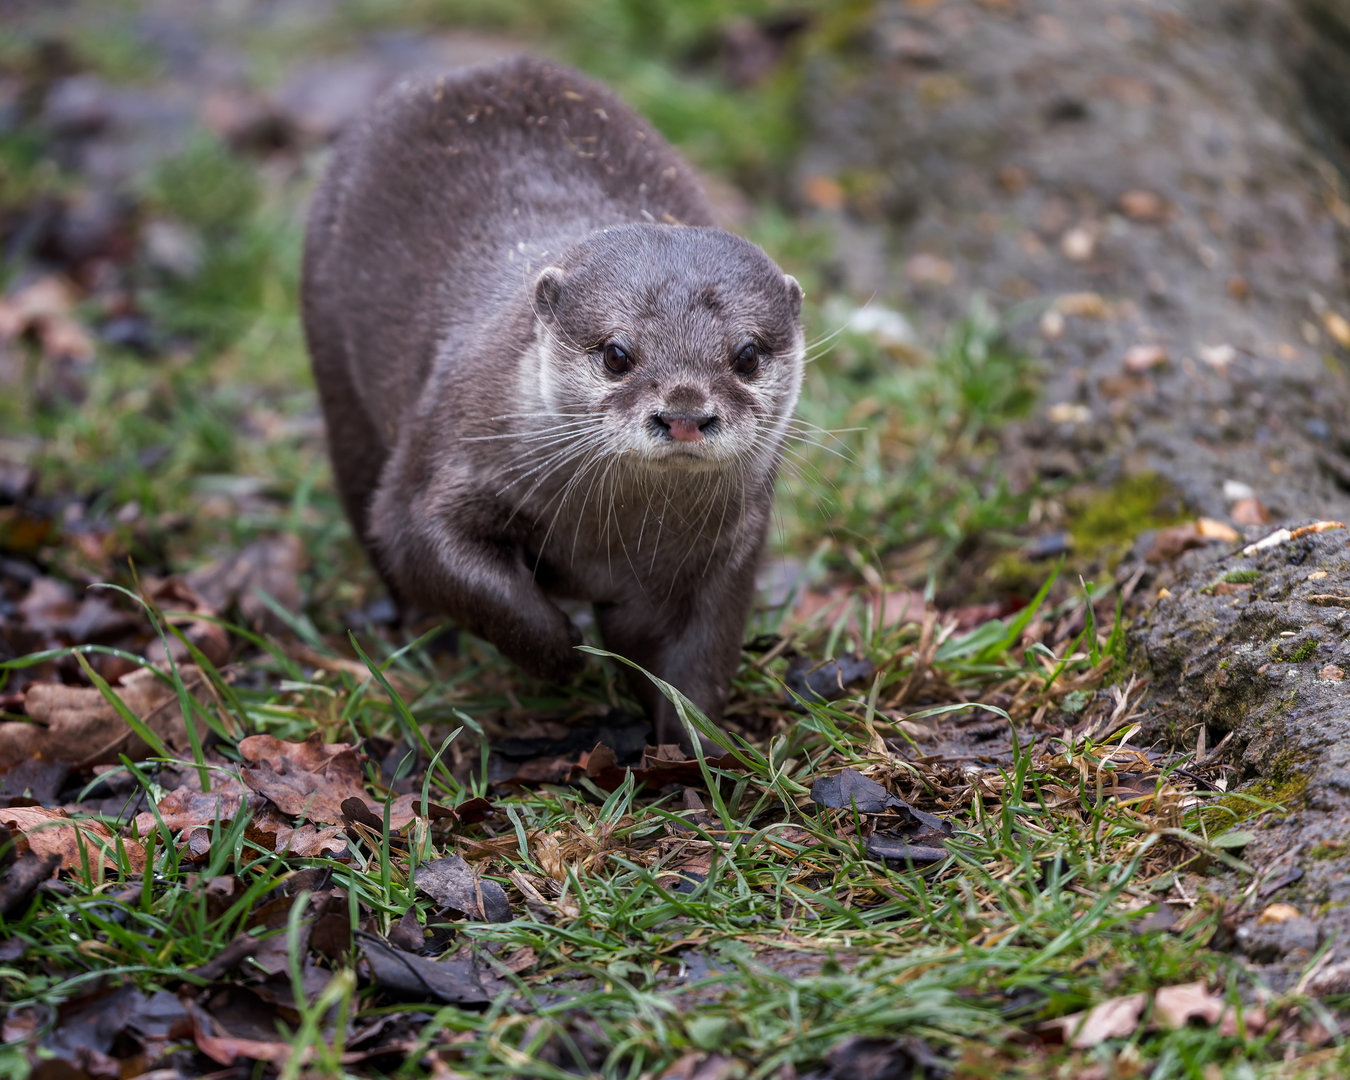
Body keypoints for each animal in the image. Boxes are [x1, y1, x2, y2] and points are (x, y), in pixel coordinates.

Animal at [301, 57, 804, 748]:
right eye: (617, 353)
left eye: (748, 355)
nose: (683, 413)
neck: (605, 540)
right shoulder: (449, 455)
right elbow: (422, 543)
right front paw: (563, 655)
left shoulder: (726, 548)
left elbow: (698, 655)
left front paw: (698, 747)